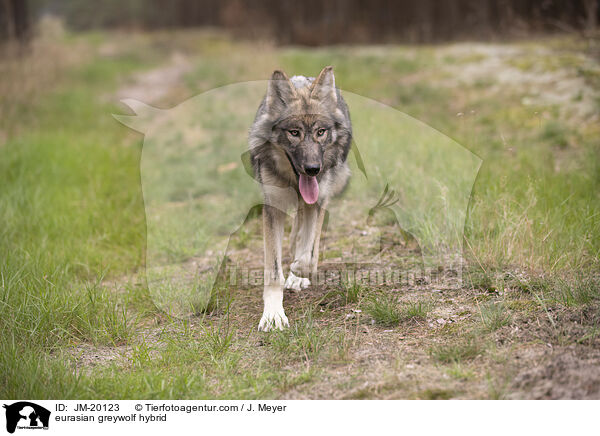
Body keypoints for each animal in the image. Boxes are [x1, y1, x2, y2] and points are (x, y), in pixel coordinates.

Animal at [247, 65, 352, 330]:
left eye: (320, 132)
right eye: (294, 133)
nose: (313, 169)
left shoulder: (318, 199)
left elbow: (309, 256)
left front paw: (297, 271)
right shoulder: (272, 208)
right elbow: (274, 271)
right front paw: (273, 316)